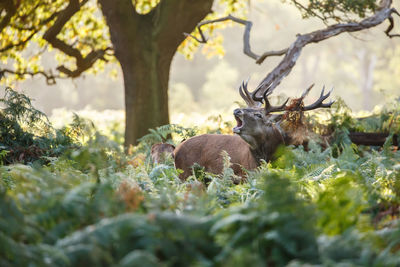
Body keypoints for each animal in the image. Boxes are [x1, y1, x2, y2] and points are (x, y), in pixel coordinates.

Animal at [173, 81, 334, 182]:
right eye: (247, 108)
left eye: (258, 115)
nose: (237, 110)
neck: (268, 157)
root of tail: (175, 150)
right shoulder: (245, 174)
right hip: (184, 173)